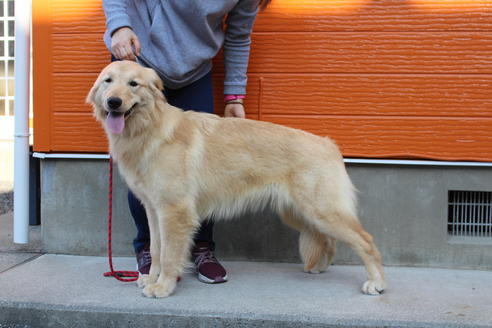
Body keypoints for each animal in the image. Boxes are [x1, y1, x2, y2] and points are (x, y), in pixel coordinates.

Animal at [88, 60, 386, 298]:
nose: (113, 102)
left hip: (320, 211)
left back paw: (376, 282)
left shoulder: (174, 212)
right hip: (300, 212)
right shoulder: (154, 210)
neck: (151, 128)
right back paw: (321, 266)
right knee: (327, 240)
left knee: (366, 241)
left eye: (133, 84)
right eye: (108, 81)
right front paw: (151, 278)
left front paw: (163, 286)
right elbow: (156, 248)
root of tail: (328, 143)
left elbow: (170, 254)